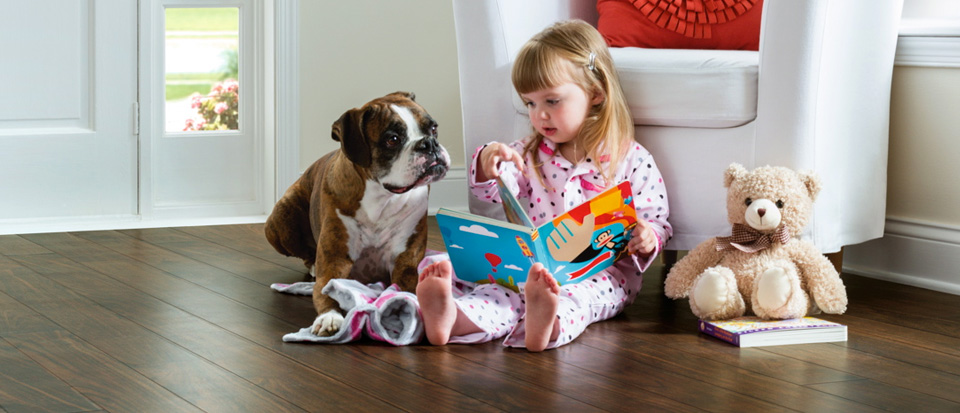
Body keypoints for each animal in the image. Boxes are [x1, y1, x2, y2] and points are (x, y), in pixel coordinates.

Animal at [266, 90, 450, 334]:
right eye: (392, 139)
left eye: (433, 128)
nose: (429, 143)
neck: (381, 198)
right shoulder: (335, 263)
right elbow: (326, 291)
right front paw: (330, 317)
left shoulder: (406, 264)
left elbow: (406, 289)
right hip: (280, 220)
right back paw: (313, 265)